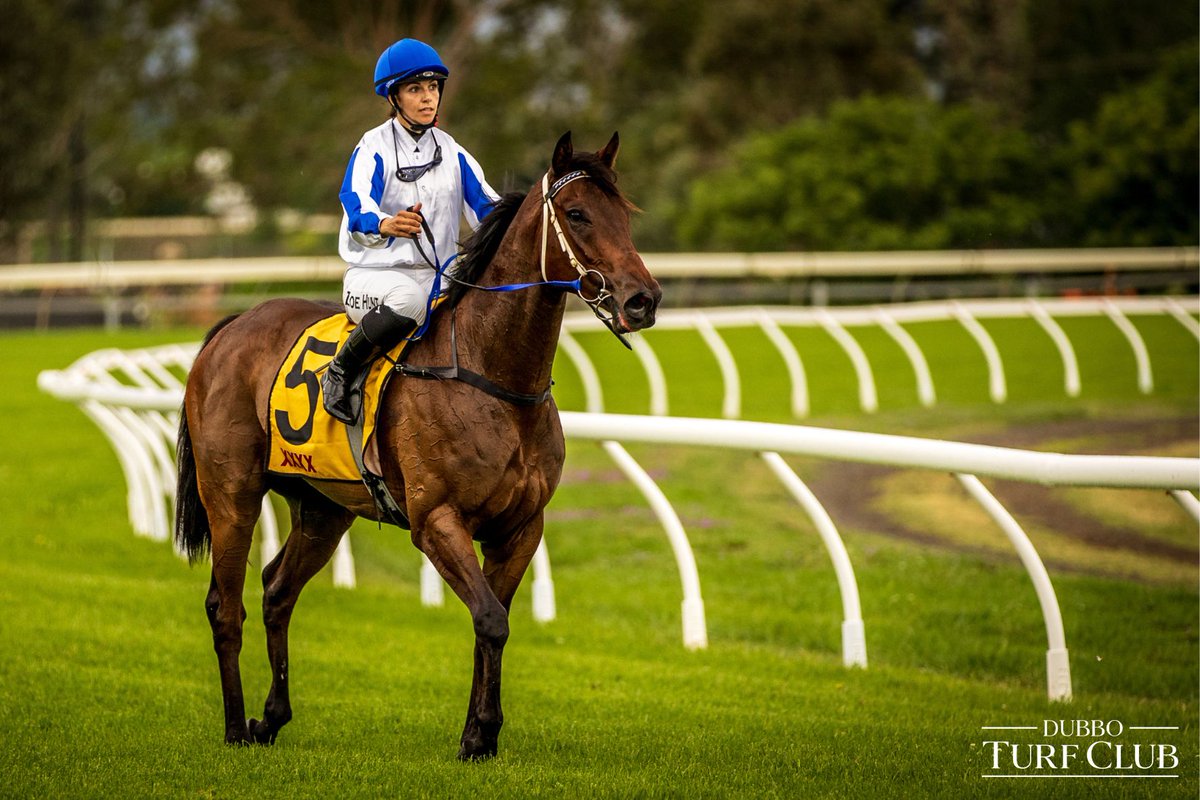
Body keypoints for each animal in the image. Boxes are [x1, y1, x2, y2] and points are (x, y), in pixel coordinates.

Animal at [174, 131, 660, 760]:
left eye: (625, 214)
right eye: (577, 214)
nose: (642, 300)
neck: (490, 374)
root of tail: (230, 327)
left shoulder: (521, 526)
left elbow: (493, 620)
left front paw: (479, 735)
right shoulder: (437, 520)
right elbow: (490, 619)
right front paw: (481, 733)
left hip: (323, 508)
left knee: (278, 591)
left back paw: (270, 719)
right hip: (231, 493)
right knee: (224, 606)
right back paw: (236, 727)